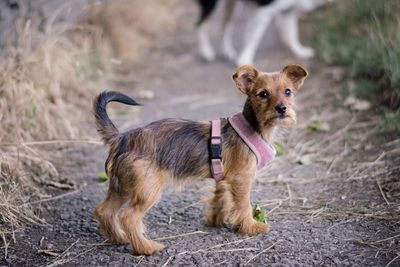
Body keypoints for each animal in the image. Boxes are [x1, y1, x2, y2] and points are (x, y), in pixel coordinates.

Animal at [92, 63, 308, 256]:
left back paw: (119, 238)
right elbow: (244, 205)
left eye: (288, 92)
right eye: (263, 94)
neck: (254, 125)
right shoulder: (242, 179)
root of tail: (122, 138)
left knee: (104, 211)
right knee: (129, 217)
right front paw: (251, 227)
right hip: (147, 189)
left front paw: (217, 221)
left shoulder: (224, 179)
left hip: (123, 186)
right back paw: (145, 247)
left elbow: (220, 199)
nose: (282, 108)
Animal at [195, 0, 330, 66]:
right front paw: (245, 59)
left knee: (225, 25)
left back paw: (227, 51)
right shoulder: (264, 10)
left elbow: (291, 33)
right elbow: (254, 36)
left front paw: (299, 51)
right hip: (213, 4)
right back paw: (206, 51)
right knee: (201, 23)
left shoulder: (288, 10)